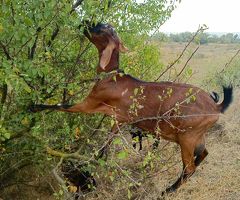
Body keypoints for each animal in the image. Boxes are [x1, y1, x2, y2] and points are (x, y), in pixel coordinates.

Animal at [31, 22, 233, 194]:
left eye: (102, 29)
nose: (84, 23)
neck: (112, 78)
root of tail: (216, 105)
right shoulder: (118, 121)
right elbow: (103, 149)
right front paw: (88, 175)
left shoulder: (90, 103)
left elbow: (64, 106)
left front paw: (33, 106)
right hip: (194, 136)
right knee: (203, 154)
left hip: (187, 137)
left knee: (189, 167)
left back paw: (167, 190)